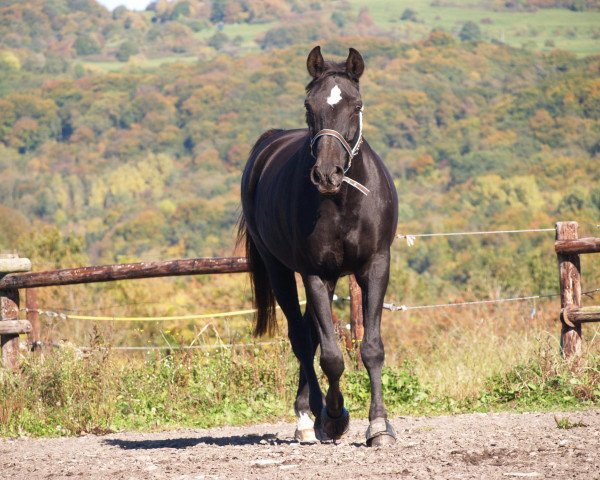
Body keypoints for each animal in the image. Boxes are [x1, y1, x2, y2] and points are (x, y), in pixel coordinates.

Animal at [238, 46, 398, 446]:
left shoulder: (375, 266)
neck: (342, 202)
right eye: (309, 107)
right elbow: (331, 356)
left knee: (309, 335)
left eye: (356, 106)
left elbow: (371, 348)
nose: (328, 174)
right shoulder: (313, 273)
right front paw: (335, 417)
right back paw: (307, 418)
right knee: (301, 337)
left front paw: (378, 425)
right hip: (280, 270)